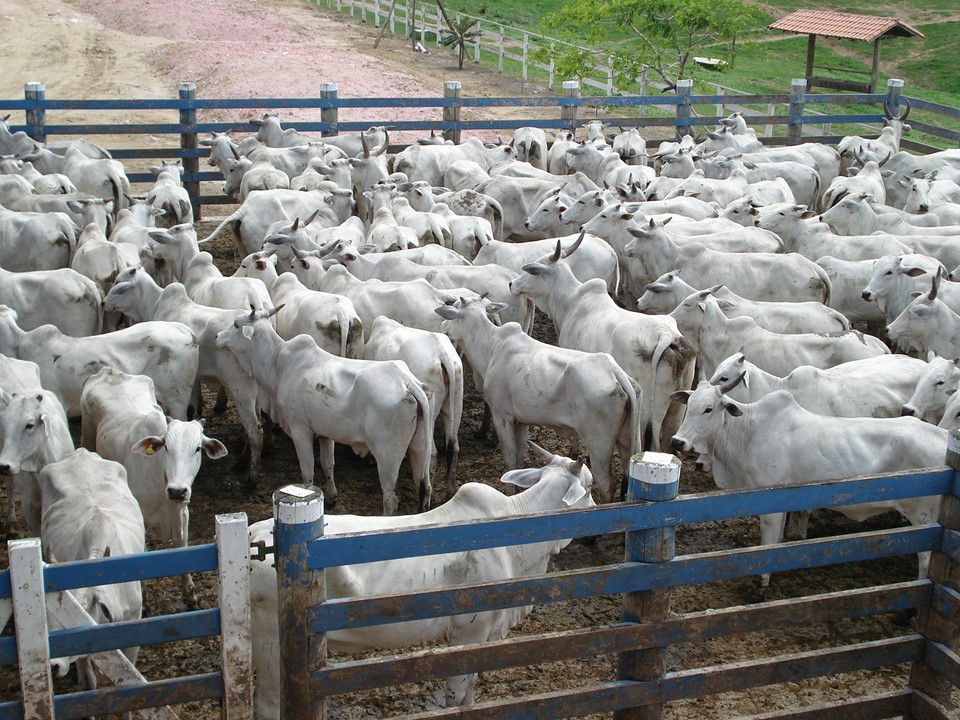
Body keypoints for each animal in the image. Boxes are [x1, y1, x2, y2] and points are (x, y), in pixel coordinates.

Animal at [80, 368, 227, 612]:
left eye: (198, 448)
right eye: (166, 447)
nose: (177, 491)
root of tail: (108, 371)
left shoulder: (182, 512)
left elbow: (182, 547)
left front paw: (191, 596)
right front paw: (146, 601)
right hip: (87, 437)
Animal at [216, 306, 434, 516]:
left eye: (236, 324)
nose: (217, 336)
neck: (278, 364)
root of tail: (406, 381)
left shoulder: (300, 430)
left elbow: (307, 472)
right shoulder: (325, 434)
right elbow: (328, 464)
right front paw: (331, 497)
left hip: (387, 455)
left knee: (391, 498)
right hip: (420, 447)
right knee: (424, 489)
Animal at [248, 448, 592, 716]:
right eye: (589, 487)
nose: (595, 509)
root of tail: (253, 538)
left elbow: (470, 693)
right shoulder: (468, 632)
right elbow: (456, 696)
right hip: (270, 646)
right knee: (268, 705)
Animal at [436, 296, 636, 504]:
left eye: (453, 312)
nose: (442, 326)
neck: (491, 347)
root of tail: (613, 370)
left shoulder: (502, 416)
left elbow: (510, 459)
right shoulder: (521, 422)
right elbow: (519, 458)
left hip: (598, 443)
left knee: (606, 485)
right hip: (625, 439)